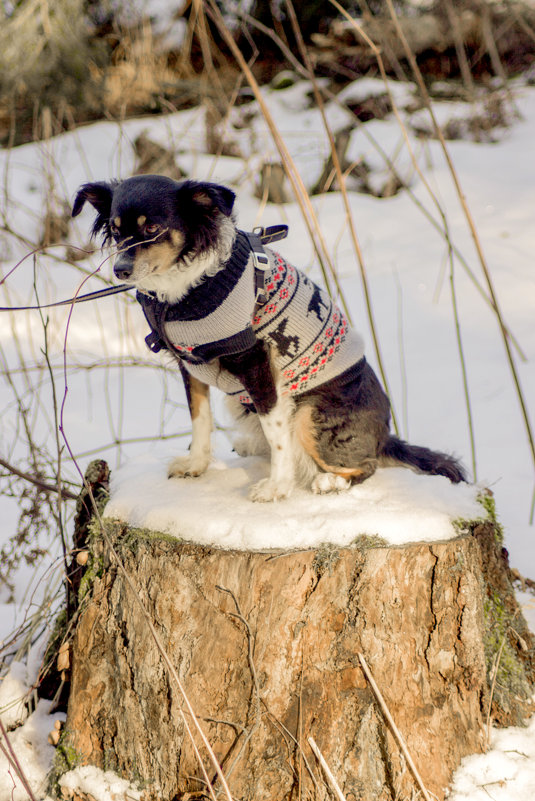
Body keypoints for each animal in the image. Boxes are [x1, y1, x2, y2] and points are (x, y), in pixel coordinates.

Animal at [73, 174, 466, 500]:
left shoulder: (256, 360)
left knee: (363, 464)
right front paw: (196, 465)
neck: (185, 289)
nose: (120, 270)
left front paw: (277, 487)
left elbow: (277, 434)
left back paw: (330, 481)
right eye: (115, 230)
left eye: (153, 227)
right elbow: (200, 419)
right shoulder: (189, 364)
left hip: (311, 414)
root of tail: (385, 436)